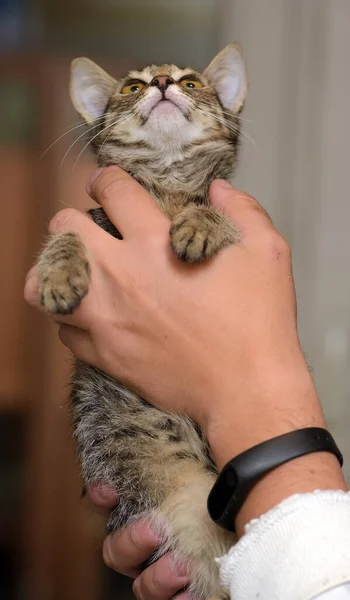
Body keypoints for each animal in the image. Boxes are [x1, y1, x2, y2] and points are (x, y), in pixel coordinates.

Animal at [38, 44, 249, 596]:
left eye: (192, 82)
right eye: (132, 87)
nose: (160, 83)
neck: (167, 187)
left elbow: (223, 217)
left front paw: (199, 225)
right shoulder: (94, 221)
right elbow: (68, 234)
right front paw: (58, 272)